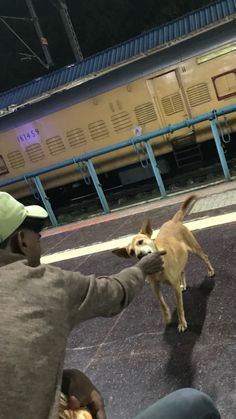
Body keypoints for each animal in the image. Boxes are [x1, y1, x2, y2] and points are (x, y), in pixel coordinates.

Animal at [111, 196, 215, 334]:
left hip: (195, 248)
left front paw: (182, 323)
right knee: (182, 271)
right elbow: (161, 303)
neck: (157, 269)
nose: (139, 255)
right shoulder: (155, 288)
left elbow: (180, 306)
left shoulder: (174, 288)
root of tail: (173, 220)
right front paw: (167, 316)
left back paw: (210, 271)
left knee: (205, 258)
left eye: (140, 241)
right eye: (131, 252)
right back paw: (183, 284)